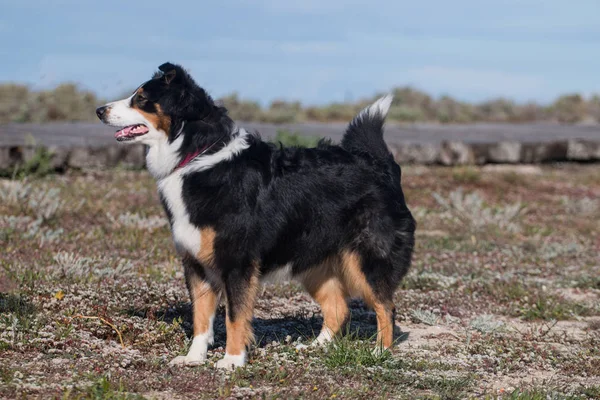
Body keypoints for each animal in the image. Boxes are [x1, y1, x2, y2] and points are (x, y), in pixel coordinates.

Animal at [97, 62, 418, 368]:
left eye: (141, 99)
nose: (99, 111)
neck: (197, 156)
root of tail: (380, 164)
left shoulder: (237, 263)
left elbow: (235, 317)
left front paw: (232, 360)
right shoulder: (195, 264)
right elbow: (201, 318)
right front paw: (194, 358)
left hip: (366, 260)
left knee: (386, 307)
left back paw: (379, 352)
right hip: (312, 263)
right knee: (339, 308)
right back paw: (315, 347)